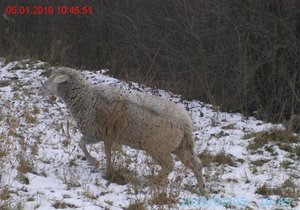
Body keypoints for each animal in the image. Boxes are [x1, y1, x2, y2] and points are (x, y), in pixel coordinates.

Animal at [39, 68, 206, 194]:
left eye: (55, 78)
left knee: (169, 166)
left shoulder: (95, 133)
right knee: (196, 165)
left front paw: (95, 163)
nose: (41, 88)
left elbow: (81, 144)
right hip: (182, 147)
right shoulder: (107, 136)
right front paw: (108, 169)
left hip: (158, 146)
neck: (86, 98)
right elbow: (107, 153)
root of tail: (185, 122)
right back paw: (202, 190)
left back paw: (152, 181)